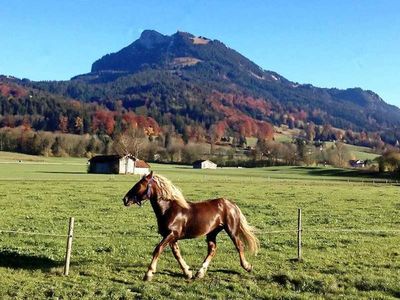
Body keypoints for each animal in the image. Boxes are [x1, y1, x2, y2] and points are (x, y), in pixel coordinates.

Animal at [122, 171, 260, 282]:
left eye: (138, 185)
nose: (125, 199)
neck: (169, 209)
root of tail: (231, 204)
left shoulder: (171, 234)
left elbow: (158, 249)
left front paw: (148, 274)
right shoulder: (172, 237)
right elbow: (177, 254)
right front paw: (188, 273)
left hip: (231, 229)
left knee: (239, 245)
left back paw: (247, 266)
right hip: (212, 232)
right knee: (212, 249)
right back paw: (200, 273)